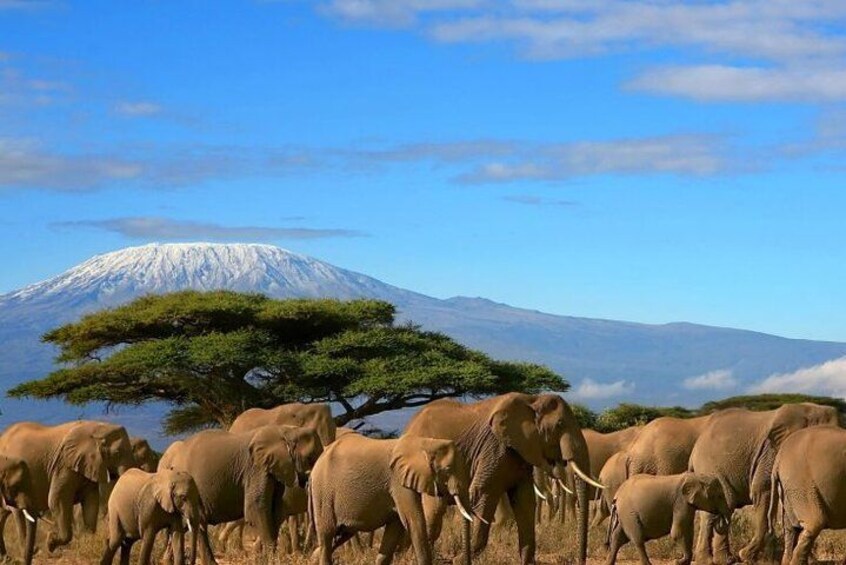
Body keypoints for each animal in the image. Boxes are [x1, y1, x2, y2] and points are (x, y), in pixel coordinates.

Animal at [0, 420, 135, 559]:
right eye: (117, 453)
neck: (99, 427)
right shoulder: (64, 465)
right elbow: (56, 500)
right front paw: (50, 542)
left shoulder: (87, 466)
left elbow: (91, 502)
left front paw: (86, 543)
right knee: (17, 514)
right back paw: (30, 552)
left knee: (3, 514)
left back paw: (7, 558)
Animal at [158, 424, 322, 564]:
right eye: (310, 458)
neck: (287, 430)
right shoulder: (256, 468)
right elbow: (256, 509)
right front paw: (271, 560)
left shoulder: (273, 470)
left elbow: (275, 511)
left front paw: (263, 558)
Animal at [311, 433, 476, 565]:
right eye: (447, 470)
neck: (425, 443)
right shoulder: (398, 482)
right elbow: (414, 521)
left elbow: (395, 527)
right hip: (322, 492)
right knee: (327, 535)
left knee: (340, 534)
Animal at [404, 392, 601, 565]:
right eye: (560, 424)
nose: (581, 560)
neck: (532, 400)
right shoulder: (495, 448)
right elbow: (483, 494)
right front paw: (458, 561)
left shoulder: (520, 453)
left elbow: (525, 501)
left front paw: (527, 562)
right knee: (435, 510)